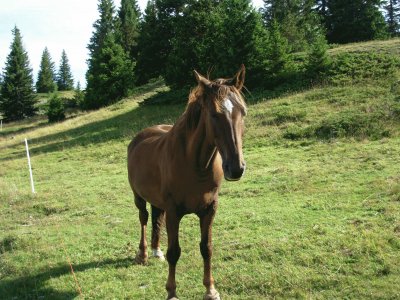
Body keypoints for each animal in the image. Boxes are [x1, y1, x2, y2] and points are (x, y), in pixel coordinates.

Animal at [128, 65, 247, 300]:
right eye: (214, 114)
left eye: (243, 112)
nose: (236, 167)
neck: (195, 164)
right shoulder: (174, 211)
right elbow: (175, 252)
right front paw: (172, 292)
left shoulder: (210, 209)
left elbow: (207, 248)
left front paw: (210, 290)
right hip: (138, 197)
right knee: (144, 218)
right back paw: (143, 254)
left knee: (156, 218)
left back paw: (156, 251)